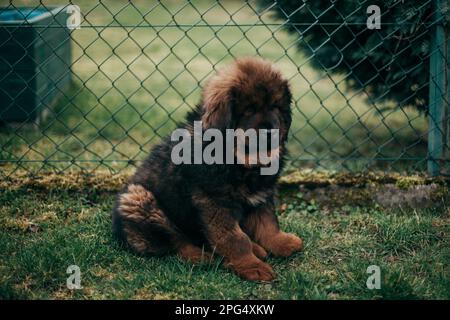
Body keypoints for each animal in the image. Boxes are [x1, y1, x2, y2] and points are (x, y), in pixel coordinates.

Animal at [112, 57, 302, 280]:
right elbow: (235, 239)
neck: (238, 159)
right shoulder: (214, 203)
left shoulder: (261, 195)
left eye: (275, 107)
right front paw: (251, 266)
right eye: (249, 110)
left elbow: (268, 224)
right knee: (176, 241)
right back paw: (202, 257)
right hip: (139, 199)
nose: (270, 131)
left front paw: (281, 243)